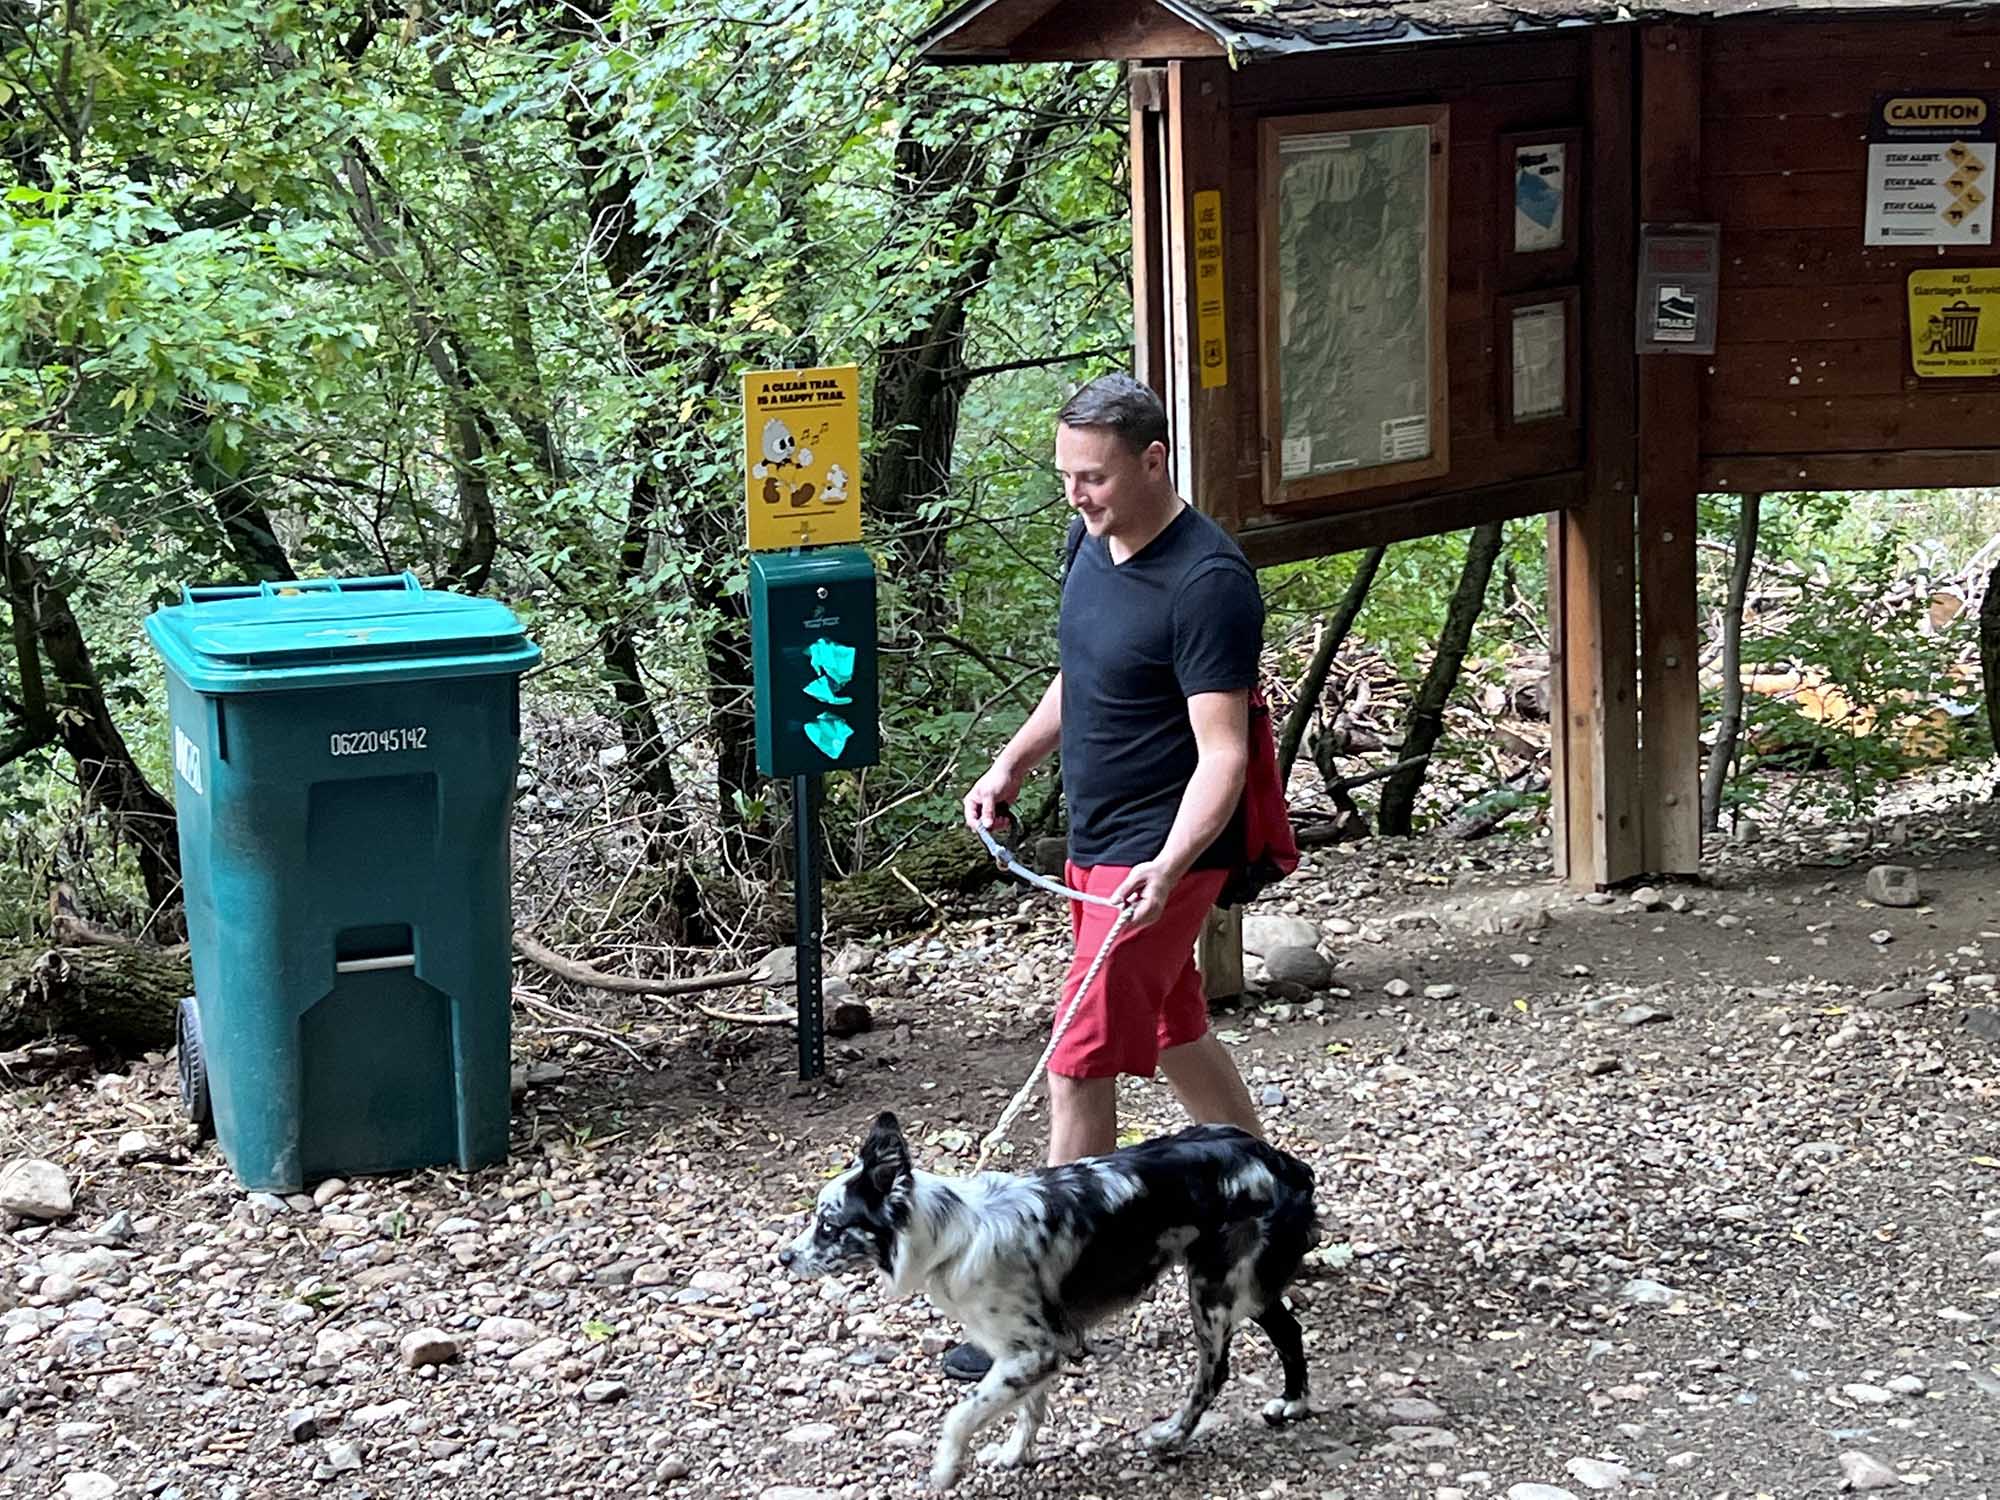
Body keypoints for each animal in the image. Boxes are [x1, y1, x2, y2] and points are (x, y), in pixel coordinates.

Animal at [776, 1120, 1312, 1496]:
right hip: (1245, 1286)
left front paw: (946, 1470)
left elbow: (961, 1415)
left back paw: (1171, 1436)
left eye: (829, 1226)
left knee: (1214, 1373)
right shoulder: (1024, 1352)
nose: (782, 1258)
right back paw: (1294, 1402)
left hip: (1211, 1289)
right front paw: (1016, 1455)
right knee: (1290, 1331)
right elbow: (1027, 1410)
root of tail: (1276, 1159)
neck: (951, 1235)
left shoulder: (1034, 1352)